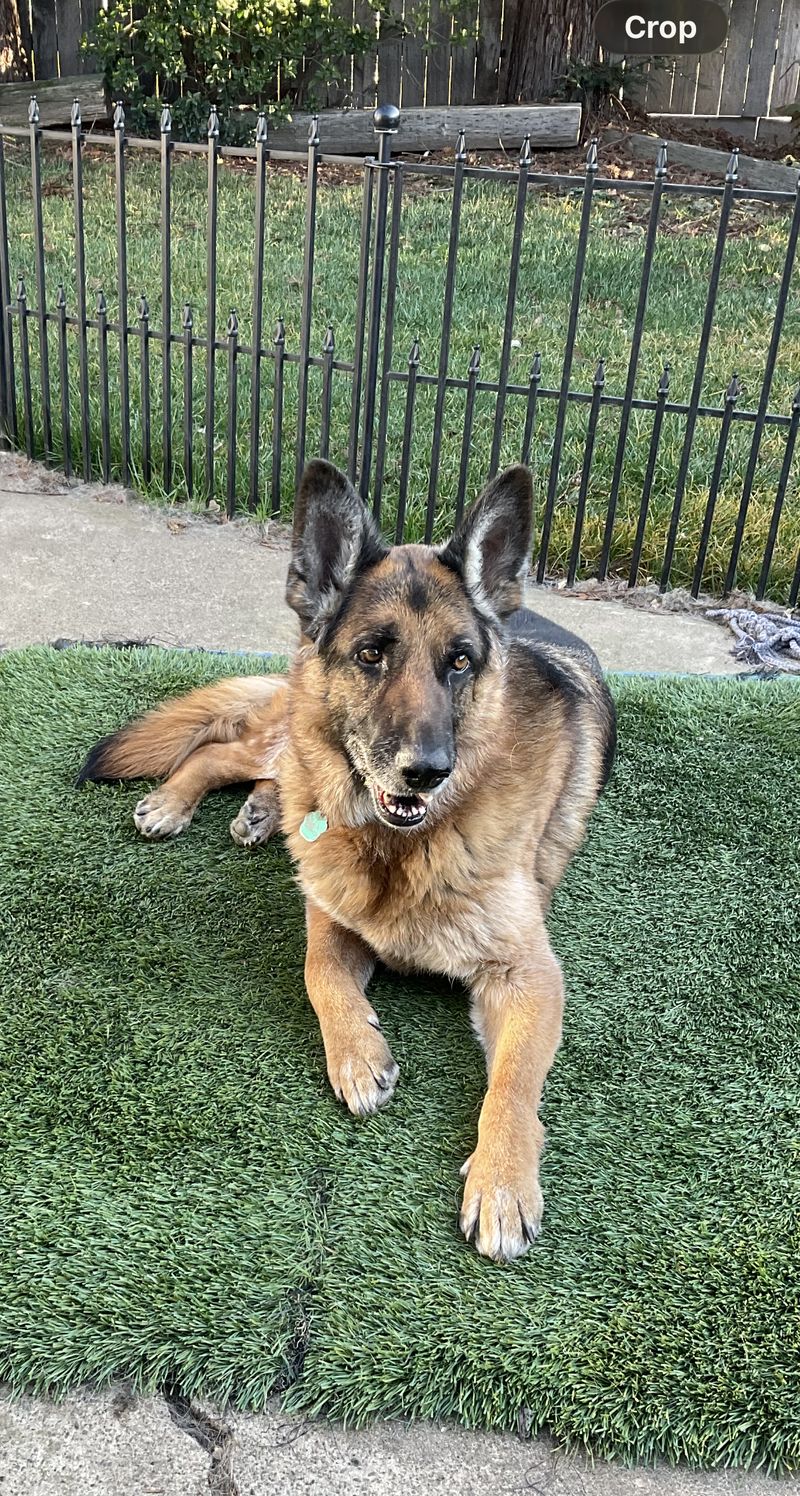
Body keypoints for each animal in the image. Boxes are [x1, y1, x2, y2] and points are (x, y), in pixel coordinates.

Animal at [79, 460, 616, 1262]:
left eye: (460, 662)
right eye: (371, 654)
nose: (426, 772)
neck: (398, 849)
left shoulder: (526, 975)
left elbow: (515, 1084)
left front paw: (501, 1180)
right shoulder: (331, 922)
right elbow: (321, 975)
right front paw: (358, 1054)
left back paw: (261, 812)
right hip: (291, 731)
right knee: (222, 748)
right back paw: (177, 801)